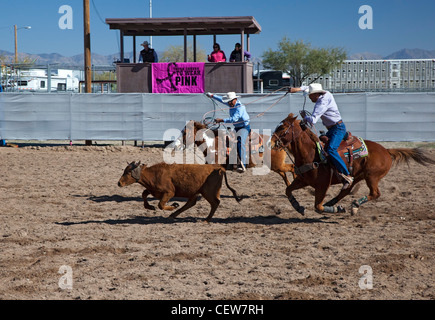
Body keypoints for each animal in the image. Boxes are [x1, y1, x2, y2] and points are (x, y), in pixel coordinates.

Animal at [276, 112, 435, 215]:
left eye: (282, 128)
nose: (273, 141)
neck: (311, 154)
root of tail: (386, 150)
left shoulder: (322, 185)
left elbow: (317, 207)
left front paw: (334, 209)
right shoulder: (303, 180)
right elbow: (287, 190)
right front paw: (298, 207)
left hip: (372, 176)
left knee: (375, 193)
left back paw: (353, 205)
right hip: (357, 176)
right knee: (346, 191)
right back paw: (333, 203)